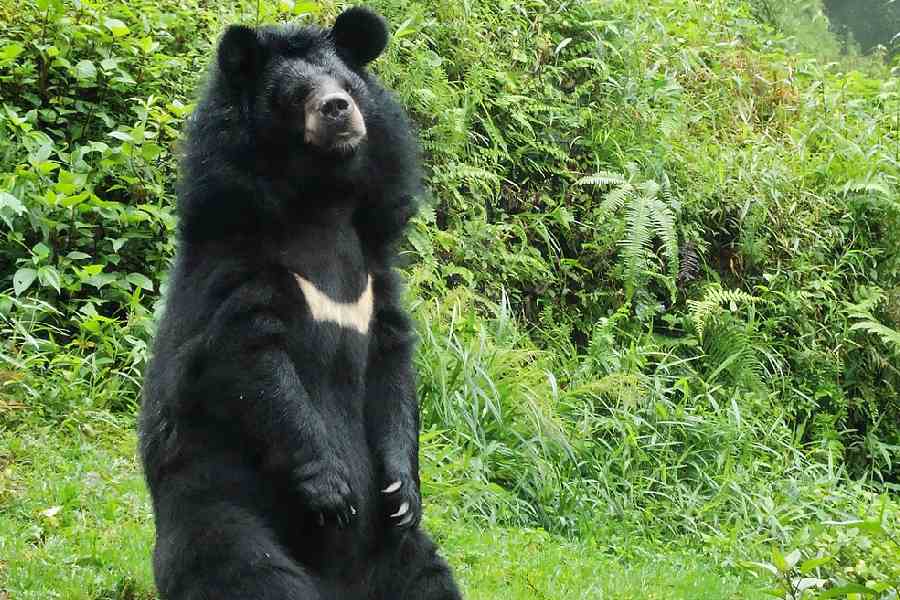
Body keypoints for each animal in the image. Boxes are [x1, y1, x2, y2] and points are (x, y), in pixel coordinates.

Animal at [138, 7, 462, 600]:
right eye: (294, 95)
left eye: (348, 85)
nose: (338, 109)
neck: (322, 202)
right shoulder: (238, 265)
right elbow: (251, 360)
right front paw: (333, 490)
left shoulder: (376, 278)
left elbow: (392, 366)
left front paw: (402, 492)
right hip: (221, 509)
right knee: (244, 568)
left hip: (400, 556)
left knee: (429, 577)